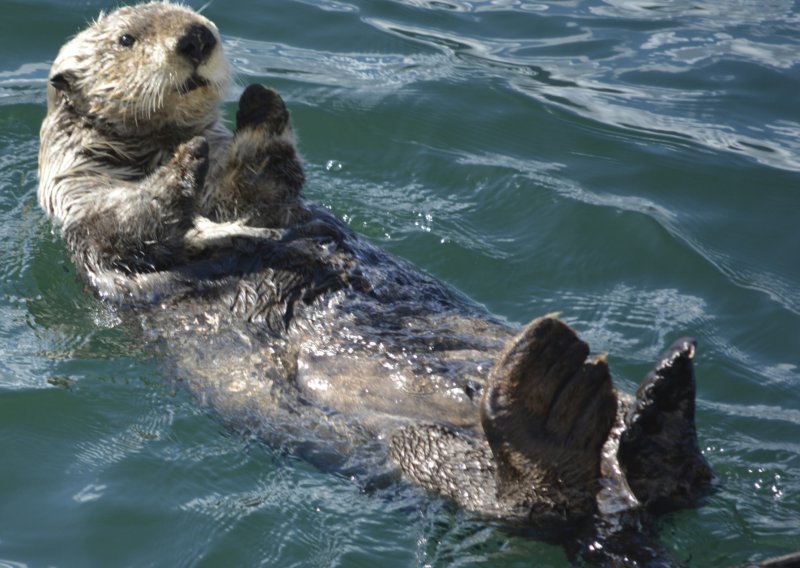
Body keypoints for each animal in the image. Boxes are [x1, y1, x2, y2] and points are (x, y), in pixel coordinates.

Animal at [36, 2, 712, 564]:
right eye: (126, 39)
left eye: (197, 17)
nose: (196, 38)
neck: (150, 148)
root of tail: (616, 512)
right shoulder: (89, 214)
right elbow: (135, 226)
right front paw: (185, 162)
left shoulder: (256, 201)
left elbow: (262, 184)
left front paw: (260, 106)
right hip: (414, 451)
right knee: (524, 501)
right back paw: (550, 398)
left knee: (669, 479)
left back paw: (657, 403)